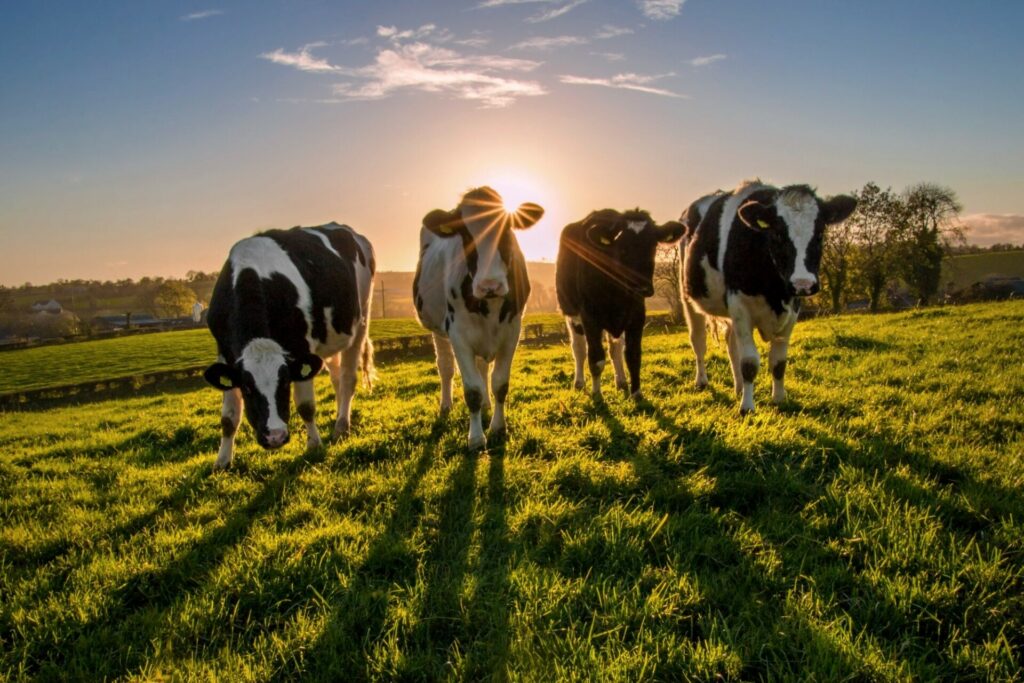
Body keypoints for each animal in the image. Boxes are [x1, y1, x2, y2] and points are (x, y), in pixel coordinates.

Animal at [203, 222, 376, 466]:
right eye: (247, 388)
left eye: (285, 383)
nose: (275, 437)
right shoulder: (226, 354)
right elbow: (228, 417)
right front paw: (222, 462)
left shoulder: (301, 346)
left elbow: (305, 406)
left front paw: (314, 444)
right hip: (330, 337)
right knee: (337, 377)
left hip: (361, 319)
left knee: (348, 377)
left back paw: (342, 425)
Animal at [413, 185, 548, 448]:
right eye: (465, 235)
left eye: (507, 230)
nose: (490, 285)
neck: (489, 305)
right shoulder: (458, 334)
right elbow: (472, 390)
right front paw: (476, 438)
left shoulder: (512, 331)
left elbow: (500, 383)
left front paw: (498, 428)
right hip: (438, 330)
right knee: (445, 367)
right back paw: (446, 406)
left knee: (483, 366)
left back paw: (486, 404)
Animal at [557, 208, 684, 401]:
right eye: (622, 248)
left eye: (652, 246)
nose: (642, 287)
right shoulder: (590, 317)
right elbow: (596, 359)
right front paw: (597, 395)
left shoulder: (636, 316)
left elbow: (632, 355)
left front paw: (636, 393)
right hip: (571, 314)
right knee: (579, 349)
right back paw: (579, 383)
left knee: (615, 349)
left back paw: (621, 381)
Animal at [679, 181, 856, 413]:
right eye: (778, 234)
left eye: (819, 233)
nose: (803, 283)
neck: (774, 291)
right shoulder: (740, 305)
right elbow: (749, 362)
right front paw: (747, 407)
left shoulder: (792, 309)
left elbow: (778, 362)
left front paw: (779, 399)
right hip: (688, 299)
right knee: (698, 341)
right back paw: (702, 381)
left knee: (731, 344)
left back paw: (738, 388)